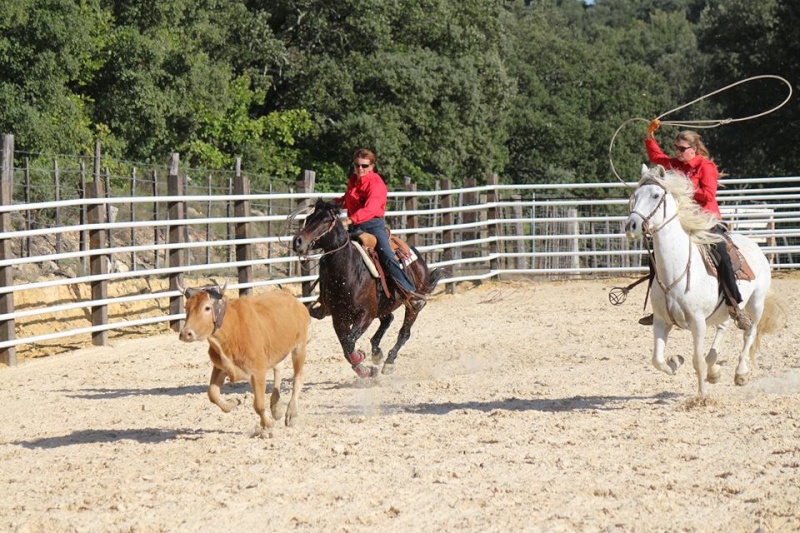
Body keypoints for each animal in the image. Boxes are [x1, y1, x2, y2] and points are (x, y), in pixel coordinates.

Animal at [178, 284, 310, 430]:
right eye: (186, 307)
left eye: (207, 308)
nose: (185, 334)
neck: (231, 330)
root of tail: (289, 295)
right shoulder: (221, 367)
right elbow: (212, 393)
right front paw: (233, 402)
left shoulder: (258, 371)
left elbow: (259, 404)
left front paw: (267, 424)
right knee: (278, 369)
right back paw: (276, 407)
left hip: (300, 346)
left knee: (298, 378)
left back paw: (291, 413)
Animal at [292, 197, 444, 376]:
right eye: (308, 219)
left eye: (325, 220)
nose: (298, 241)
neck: (348, 272)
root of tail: (418, 257)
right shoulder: (339, 317)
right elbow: (346, 345)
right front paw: (364, 369)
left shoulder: (366, 315)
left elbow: (350, 343)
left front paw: (362, 360)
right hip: (384, 305)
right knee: (388, 319)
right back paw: (376, 352)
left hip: (411, 307)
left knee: (404, 332)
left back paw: (389, 361)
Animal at [624, 166, 780, 394]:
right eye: (635, 196)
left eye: (655, 195)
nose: (631, 225)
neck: (675, 271)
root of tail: (754, 244)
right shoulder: (661, 321)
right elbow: (657, 360)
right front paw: (675, 362)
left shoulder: (697, 323)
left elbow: (696, 360)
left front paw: (702, 395)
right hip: (728, 307)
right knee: (723, 327)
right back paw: (714, 369)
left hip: (756, 302)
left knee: (749, 333)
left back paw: (740, 373)